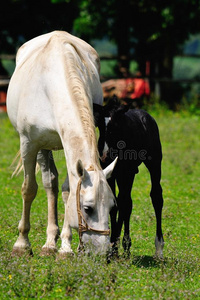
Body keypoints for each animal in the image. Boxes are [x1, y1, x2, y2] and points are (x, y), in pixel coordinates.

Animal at [7, 30, 117, 255]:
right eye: (88, 208)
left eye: (111, 207)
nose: (102, 252)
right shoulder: (29, 144)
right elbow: (29, 189)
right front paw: (22, 244)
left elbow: (68, 191)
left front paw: (65, 248)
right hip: (42, 148)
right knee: (49, 184)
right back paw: (48, 243)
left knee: (54, 185)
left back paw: (52, 242)